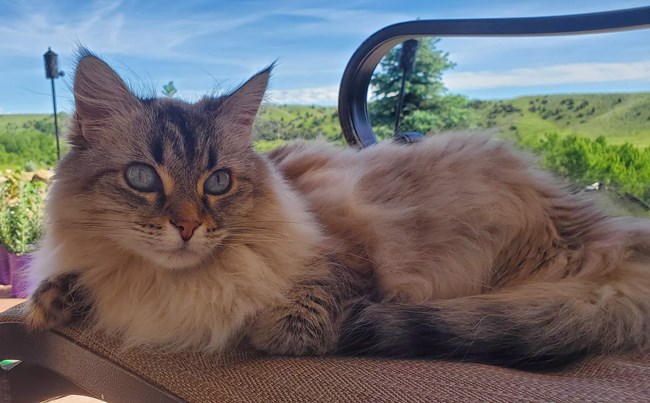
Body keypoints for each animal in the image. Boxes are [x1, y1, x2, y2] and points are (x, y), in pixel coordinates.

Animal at [25, 49, 648, 370]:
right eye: (141, 178)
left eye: (219, 182)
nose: (188, 227)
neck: (164, 284)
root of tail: (604, 233)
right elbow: (66, 286)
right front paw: (51, 304)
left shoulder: (344, 255)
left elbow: (289, 322)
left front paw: (256, 325)